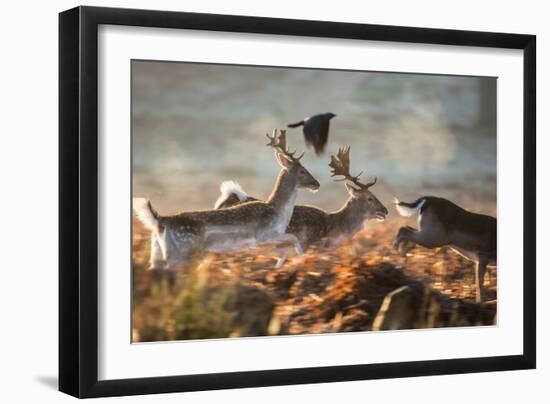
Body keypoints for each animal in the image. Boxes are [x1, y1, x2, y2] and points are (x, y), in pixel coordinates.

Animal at [134, 129, 322, 272]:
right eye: (302, 170)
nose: (317, 184)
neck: (279, 213)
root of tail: (160, 220)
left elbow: (282, 252)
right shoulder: (263, 235)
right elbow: (294, 238)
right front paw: (302, 257)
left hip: (157, 251)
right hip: (181, 252)